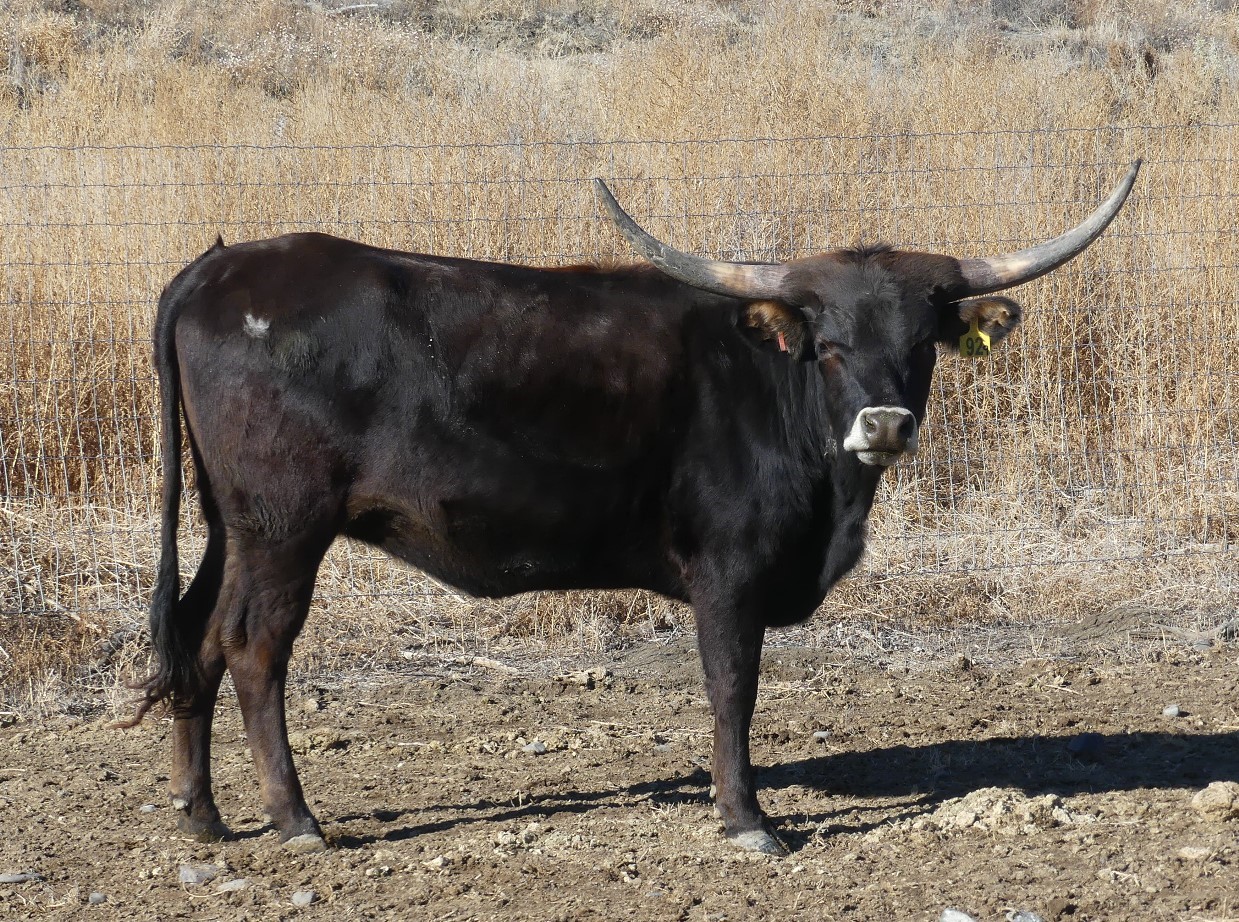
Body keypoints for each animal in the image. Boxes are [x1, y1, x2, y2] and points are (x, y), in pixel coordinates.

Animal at [128, 161, 1139, 855]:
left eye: (923, 340)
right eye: (829, 344)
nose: (885, 424)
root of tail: (219, 269)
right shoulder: (729, 572)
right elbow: (732, 688)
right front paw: (745, 818)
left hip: (229, 525)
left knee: (196, 636)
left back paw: (202, 814)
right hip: (283, 528)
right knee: (253, 646)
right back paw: (295, 818)